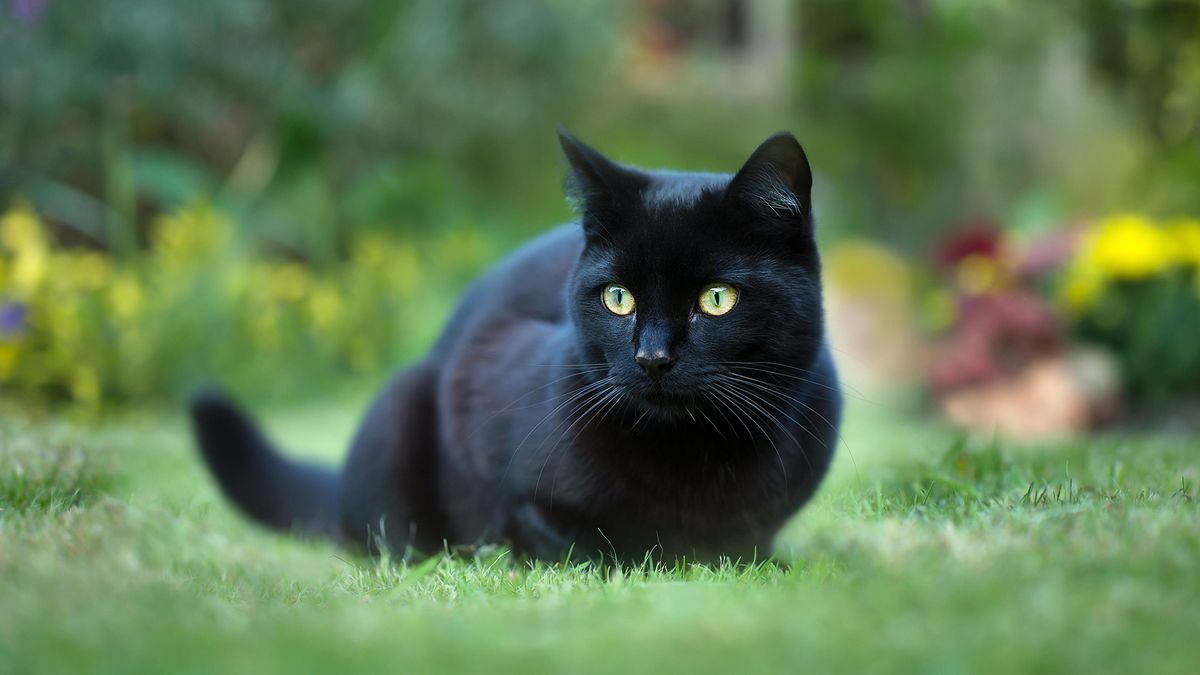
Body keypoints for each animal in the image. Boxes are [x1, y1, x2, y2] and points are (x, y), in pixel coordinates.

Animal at [189, 128, 844, 559]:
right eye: (618, 298)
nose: (652, 357)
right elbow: (581, 540)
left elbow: (745, 544)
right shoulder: (484, 387)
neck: (692, 456)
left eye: (716, 298)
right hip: (402, 401)